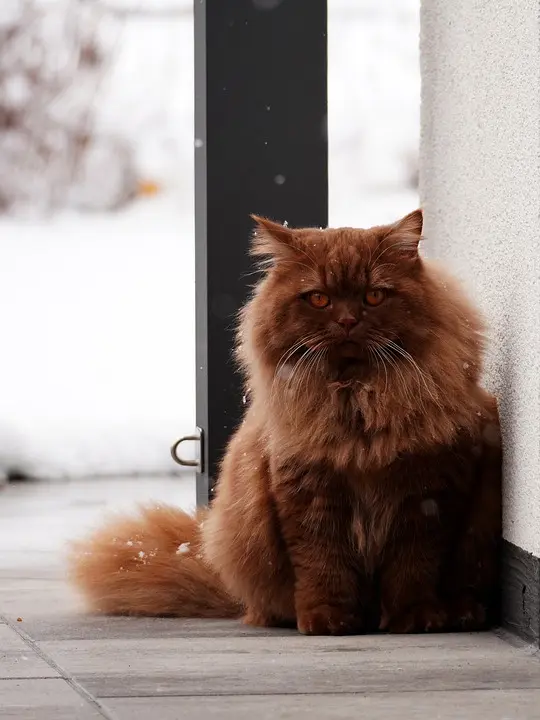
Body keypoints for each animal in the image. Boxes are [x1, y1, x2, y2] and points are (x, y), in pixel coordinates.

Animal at [68, 210, 502, 636]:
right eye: (319, 298)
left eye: (374, 296)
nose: (348, 320)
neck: (355, 401)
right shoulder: (308, 490)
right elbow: (322, 565)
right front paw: (327, 622)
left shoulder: (428, 493)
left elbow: (413, 568)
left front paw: (415, 620)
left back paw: (464, 613)